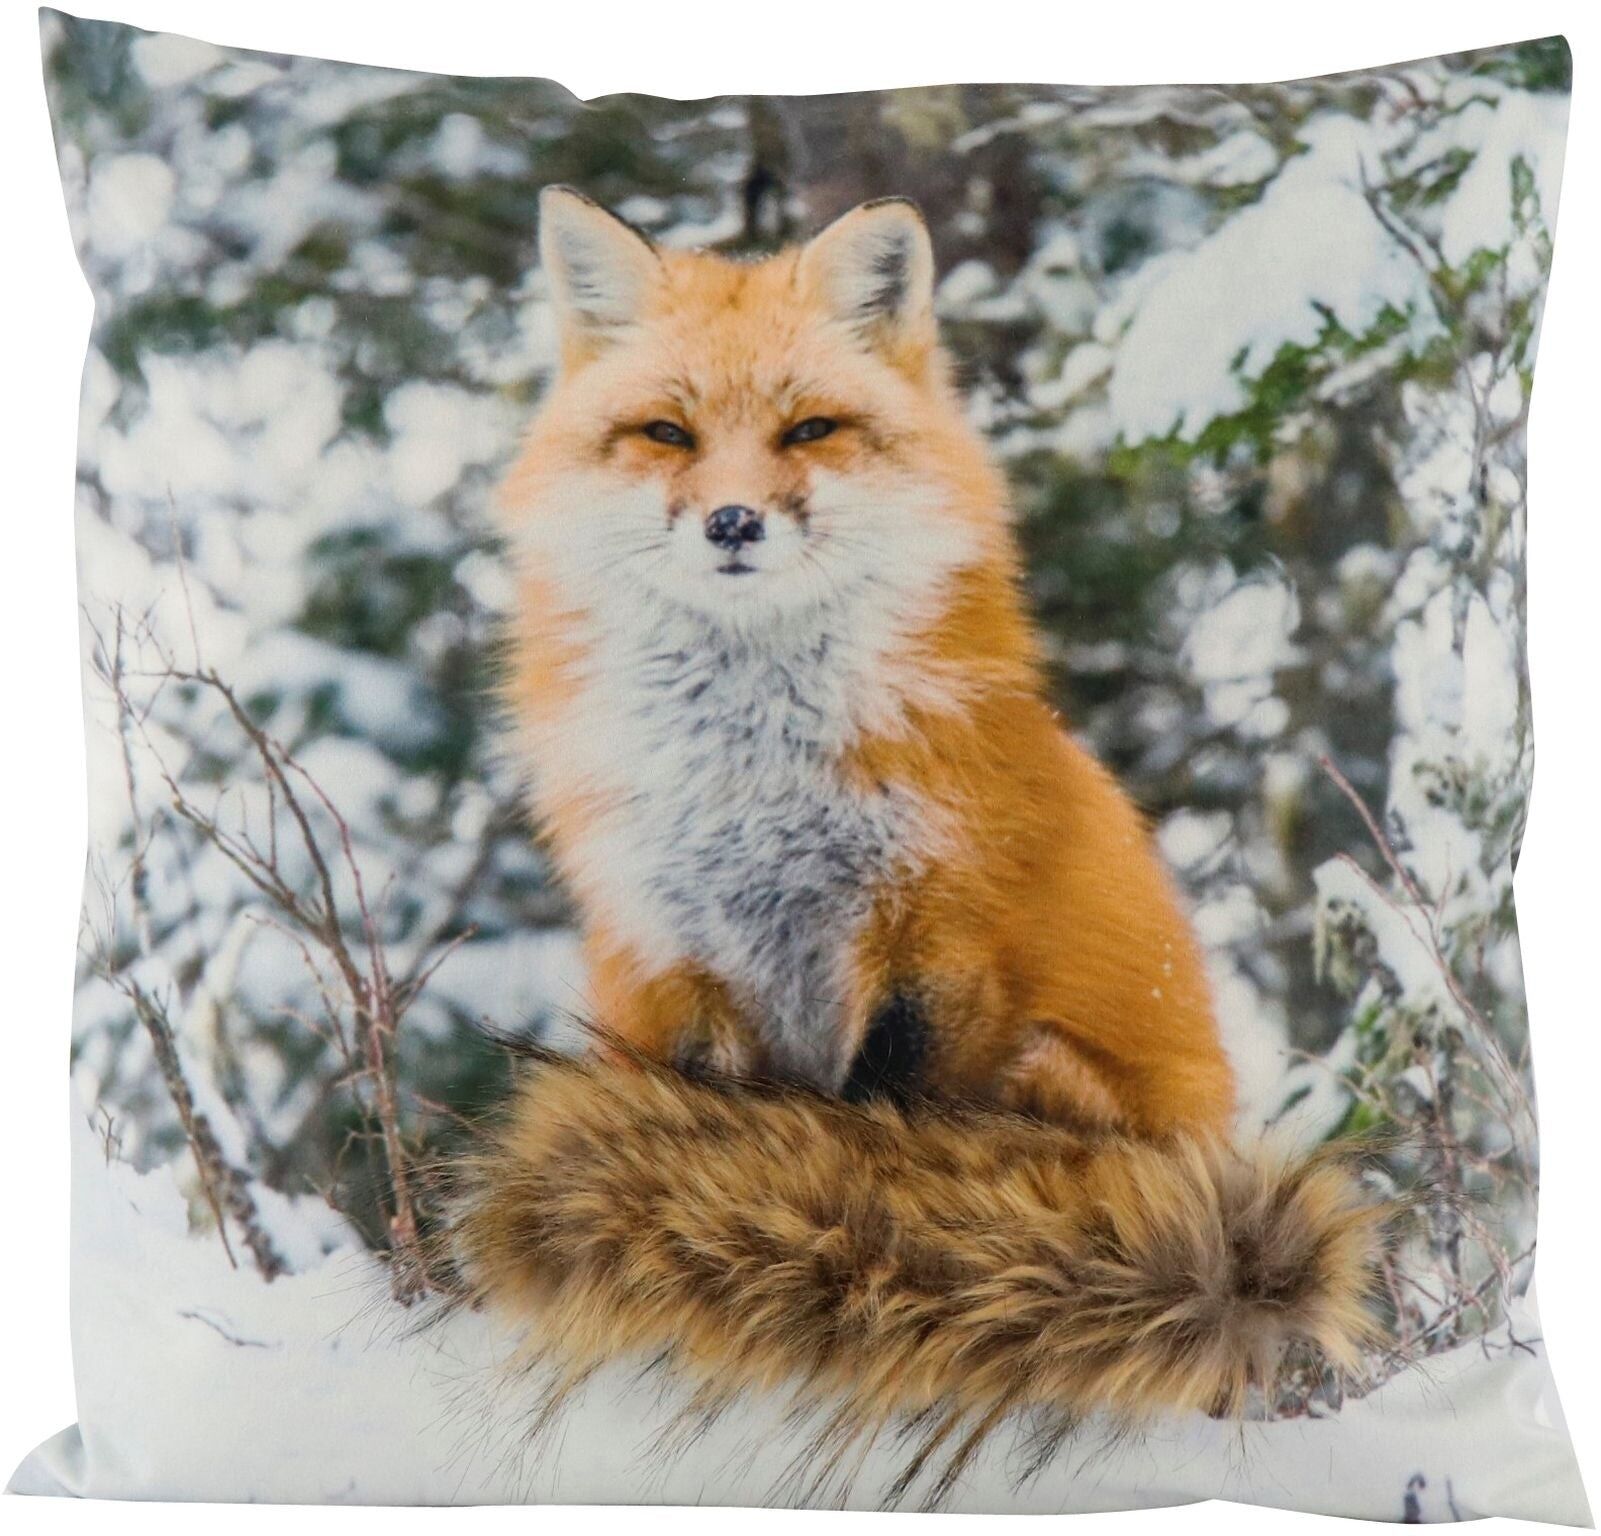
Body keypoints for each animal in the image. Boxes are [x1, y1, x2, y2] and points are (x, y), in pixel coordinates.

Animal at [451, 188, 1385, 1470]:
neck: (755, 778)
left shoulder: (937, 941)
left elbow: (869, 1142)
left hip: (1054, 1071)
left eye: (808, 430)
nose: (732, 522)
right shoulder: (668, 960)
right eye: (665, 434)